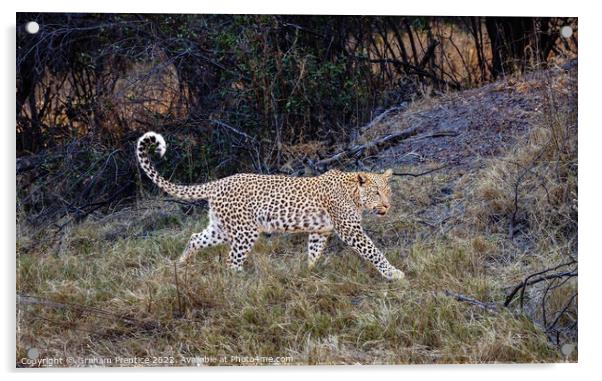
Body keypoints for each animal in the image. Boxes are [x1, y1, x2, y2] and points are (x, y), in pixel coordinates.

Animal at [137, 131, 404, 280]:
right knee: (231, 261)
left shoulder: (320, 231)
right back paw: (243, 281)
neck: (354, 193)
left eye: (388, 191)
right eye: (376, 192)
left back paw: (180, 265)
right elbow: (373, 251)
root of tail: (220, 181)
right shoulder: (350, 230)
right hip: (245, 231)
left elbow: (314, 251)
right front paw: (393, 274)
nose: (387, 206)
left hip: (221, 228)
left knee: (195, 238)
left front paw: (308, 271)